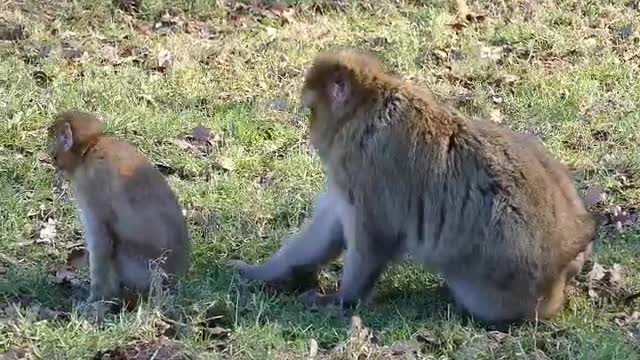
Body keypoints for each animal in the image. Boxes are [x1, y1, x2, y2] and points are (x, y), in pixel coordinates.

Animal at [47, 110, 190, 310]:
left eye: (55, 153)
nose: (56, 165)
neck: (91, 147)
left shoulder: (92, 187)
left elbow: (101, 242)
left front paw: (95, 299)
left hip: (139, 269)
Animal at [231, 49, 600, 324]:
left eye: (311, 110)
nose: (310, 134)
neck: (365, 108)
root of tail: (573, 247)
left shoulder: (366, 166)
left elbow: (373, 237)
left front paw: (343, 298)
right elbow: (326, 230)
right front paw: (261, 272)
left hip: (500, 276)